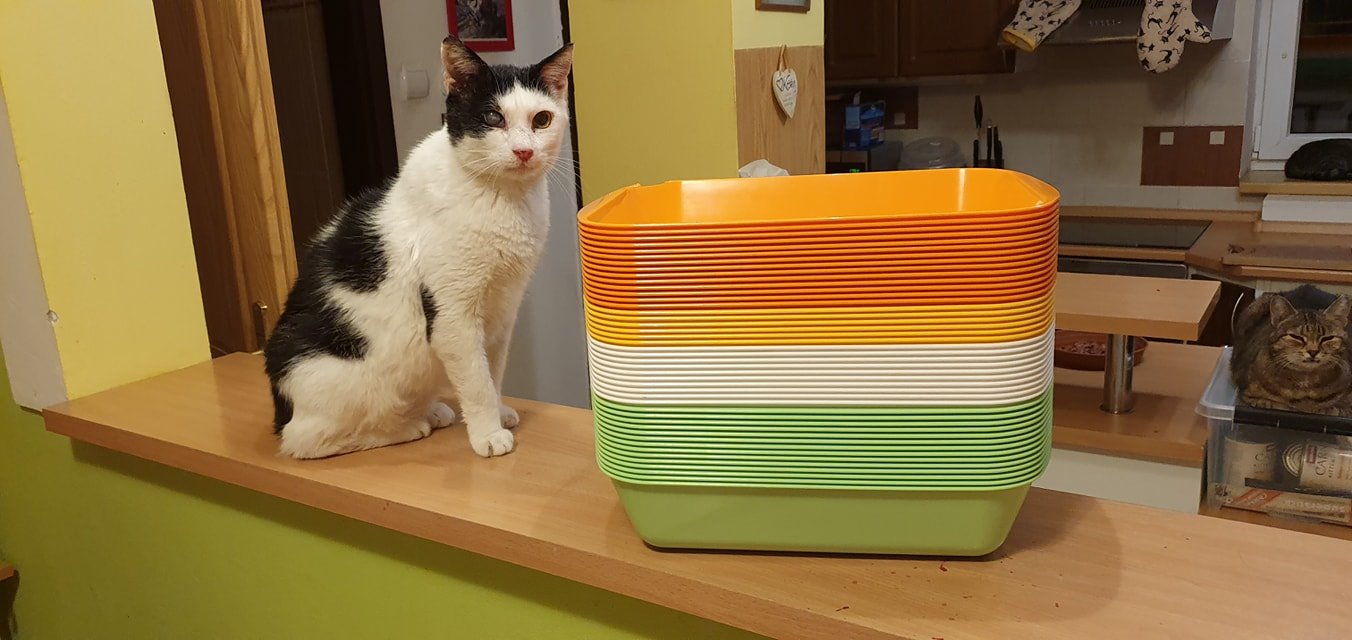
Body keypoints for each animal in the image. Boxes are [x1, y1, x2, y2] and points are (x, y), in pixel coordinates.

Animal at [264, 36, 574, 459]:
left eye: (541, 119)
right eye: (492, 118)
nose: (524, 151)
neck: (503, 199)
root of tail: (279, 406)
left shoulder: (502, 310)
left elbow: (492, 371)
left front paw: (497, 411)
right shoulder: (454, 316)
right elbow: (476, 380)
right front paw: (487, 433)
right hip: (341, 380)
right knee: (305, 441)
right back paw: (406, 426)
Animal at [1231, 285, 1352, 417]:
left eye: (1327, 338)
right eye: (1296, 337)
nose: (1313, 351)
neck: (1305, 383)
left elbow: (1336, 408)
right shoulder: (1248, 396)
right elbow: (1274, 404)